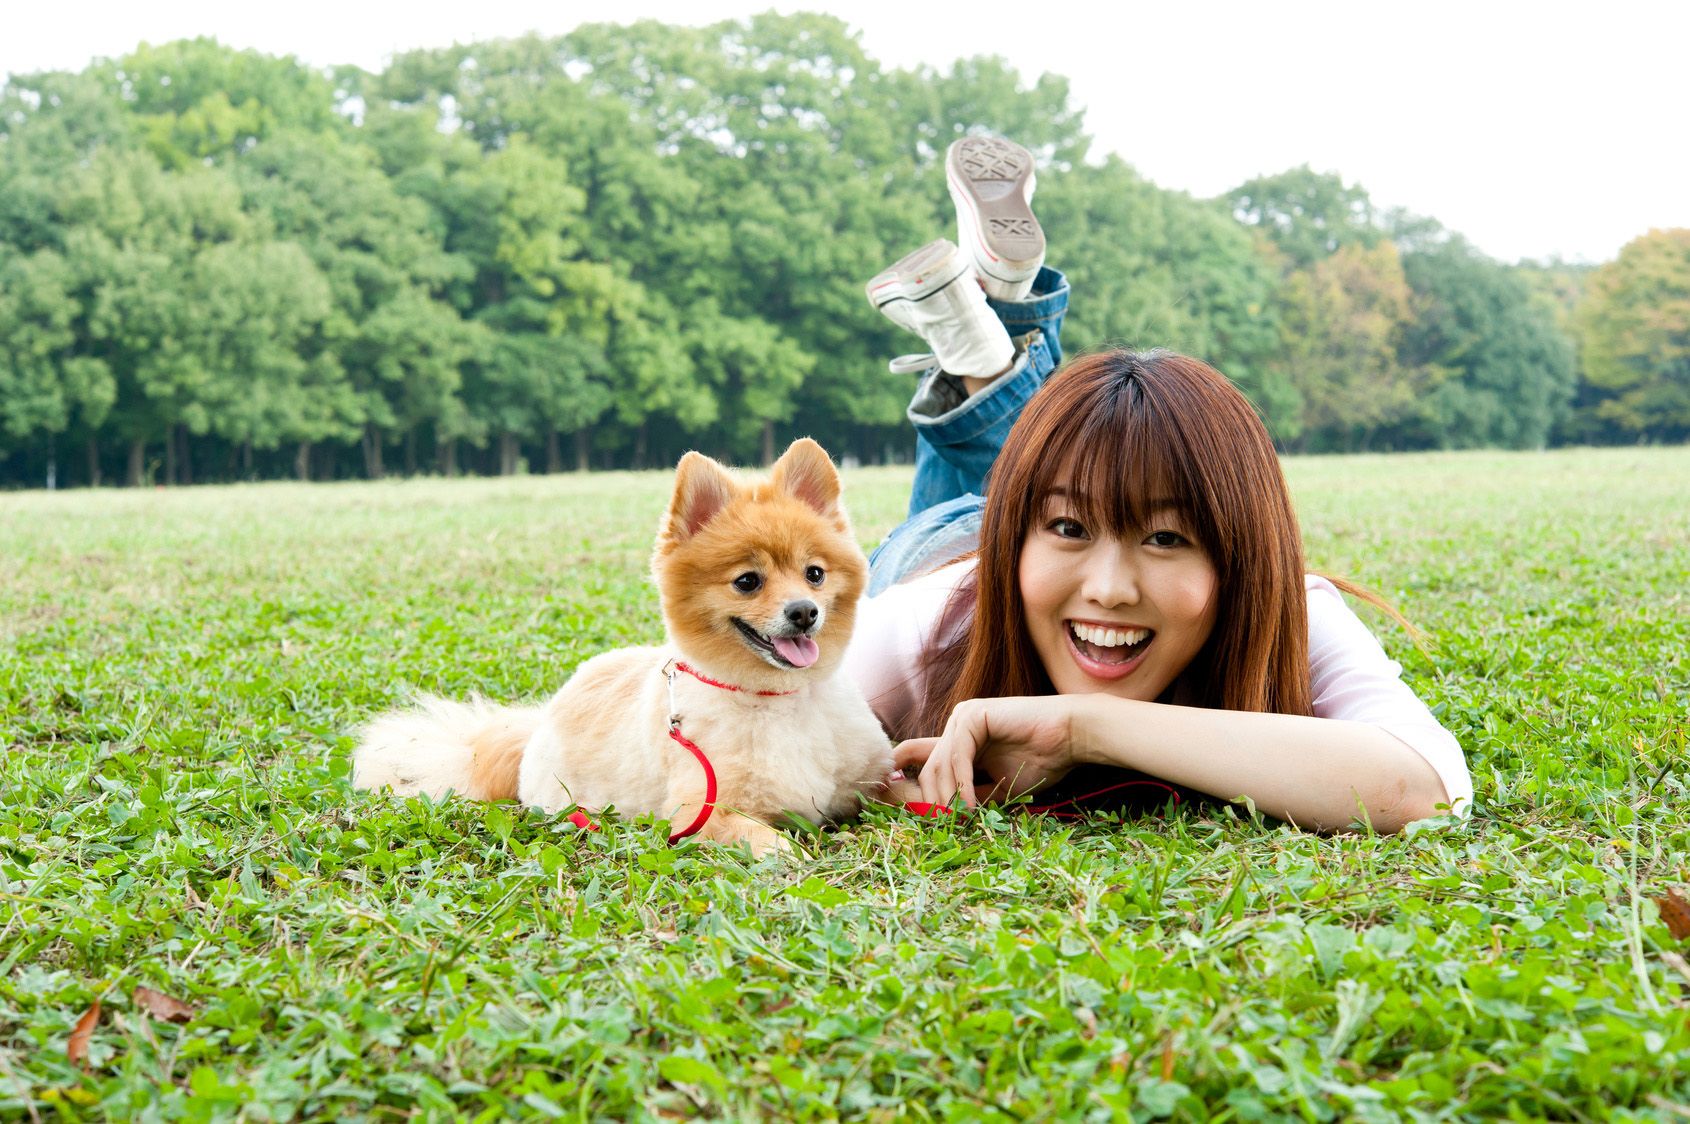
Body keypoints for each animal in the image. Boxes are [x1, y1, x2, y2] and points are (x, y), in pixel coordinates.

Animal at [354, 436, 899, 851]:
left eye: (814, 574)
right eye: (748, 581)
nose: (804, 612)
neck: (777, 698)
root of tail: (537, 724)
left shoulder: (872, 785)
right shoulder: (703, 812)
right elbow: (775, 845)